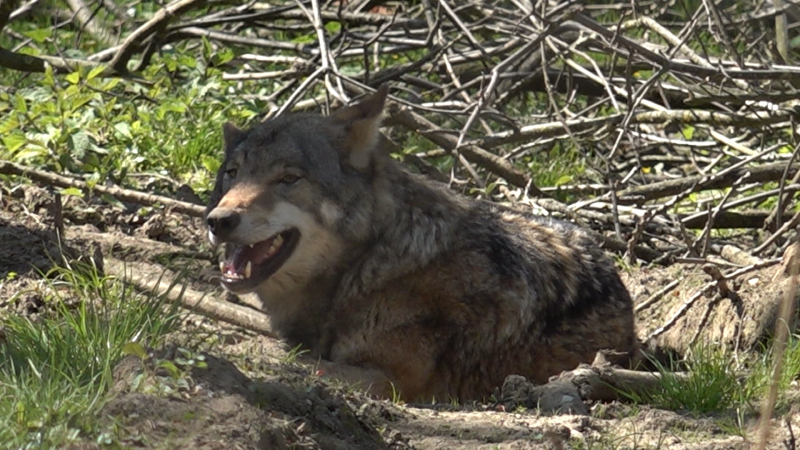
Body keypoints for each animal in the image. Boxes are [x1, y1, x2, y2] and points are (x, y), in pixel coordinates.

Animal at [205, 84, 636, 400]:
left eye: (289, 178)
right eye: (232, 173)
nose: (219, 221)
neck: (367, 263)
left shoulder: (393, 378)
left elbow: (299, 363)